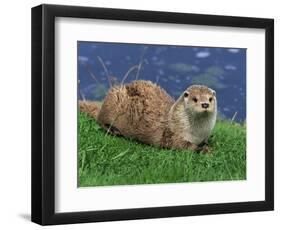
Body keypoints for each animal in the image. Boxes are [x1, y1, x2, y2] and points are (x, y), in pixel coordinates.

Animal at [79, 80, 217, 153]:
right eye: (195, 99)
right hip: (113, 100)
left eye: (210, 98)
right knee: (100, 120)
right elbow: (182, 146)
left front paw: (206, 146)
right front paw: (204, 150)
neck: (197, 133)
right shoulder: (172, 135)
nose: (205, 104)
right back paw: (113, 130)